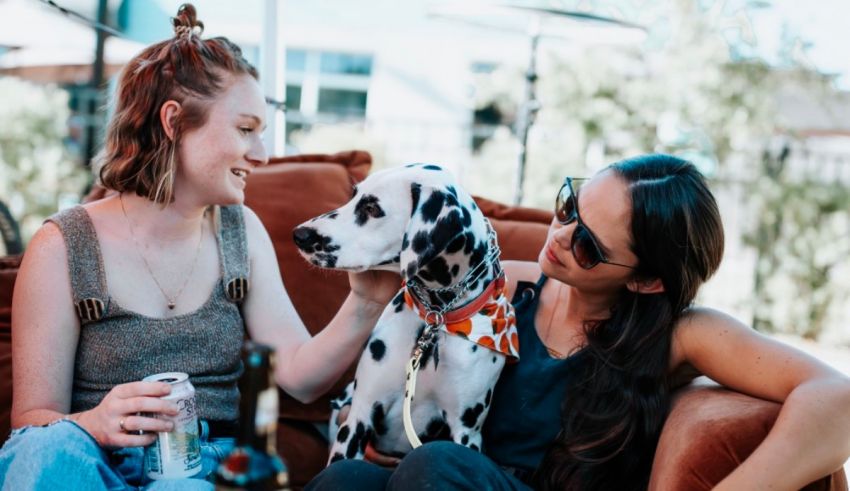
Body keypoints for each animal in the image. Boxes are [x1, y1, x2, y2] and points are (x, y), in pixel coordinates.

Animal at [292, 163, 516, 464]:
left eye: (372, 208)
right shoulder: (358, 417)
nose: (300, 235)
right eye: (353, 195)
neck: (436, 320)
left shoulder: (467, 434)